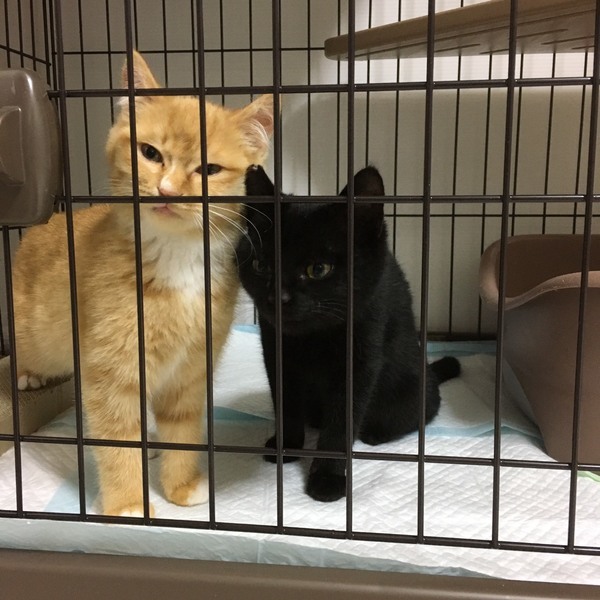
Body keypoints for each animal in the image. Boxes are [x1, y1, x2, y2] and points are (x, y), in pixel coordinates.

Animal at [11, 51, 274, 516]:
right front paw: (128, 504)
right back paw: (26, 375)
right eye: (150, 153)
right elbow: (117, 439)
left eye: (209, 169)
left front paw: (181, 485)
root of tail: (48, 221)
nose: (167, 189)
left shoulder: (192, 369)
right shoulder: (111, 374)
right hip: (39, 335)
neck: (176, 257)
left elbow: (182, 429)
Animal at [237, 165, 460, 502]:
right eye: (261, 265)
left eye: (318, 269)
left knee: (419, 412)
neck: (312, 338)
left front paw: (327, 477)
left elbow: (342, 421)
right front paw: (286, 446)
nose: (277, 298)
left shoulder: (361, 354)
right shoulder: (274, 348)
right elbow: (285, 401)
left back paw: (374, 432)